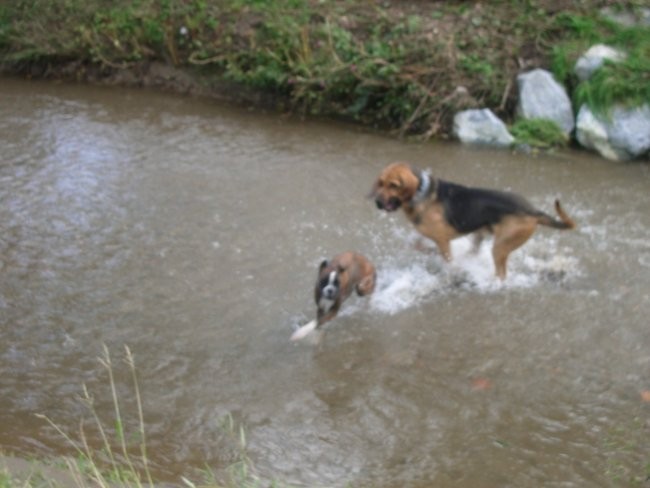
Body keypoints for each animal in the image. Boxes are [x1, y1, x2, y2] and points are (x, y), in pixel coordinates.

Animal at [368, 162, 576, 280]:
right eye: (380, 182)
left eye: (393, 185)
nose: (377, 203)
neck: (421, 193)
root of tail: (532, 211)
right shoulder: (426, 237)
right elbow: (416, 244)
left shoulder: (442, 240)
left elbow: (447, 258)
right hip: (482, 234)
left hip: (500, 246)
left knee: (501, 274)